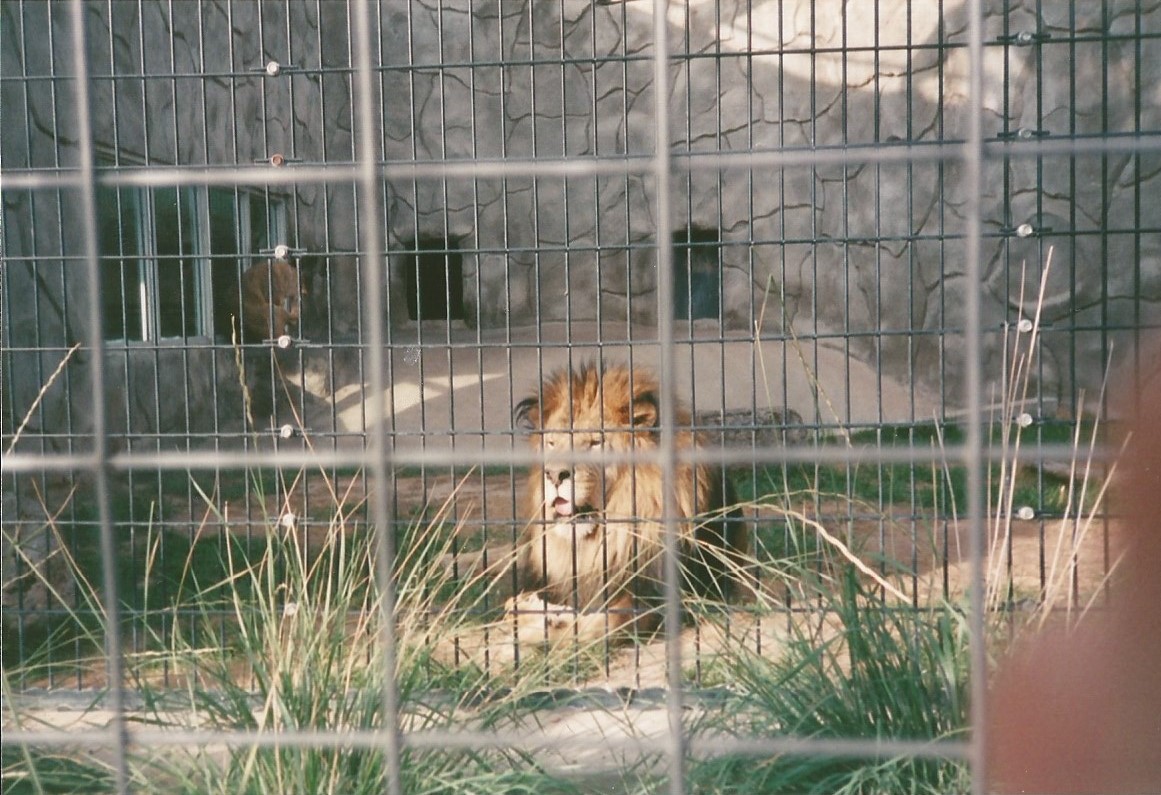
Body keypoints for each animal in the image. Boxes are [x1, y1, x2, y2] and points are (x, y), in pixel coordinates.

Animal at [505, 361, 749, 646]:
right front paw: (525, 611)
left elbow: (612, 621)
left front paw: (547, 626)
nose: (554, 475)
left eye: (595, 442)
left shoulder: (665, 596)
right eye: (551, 443)